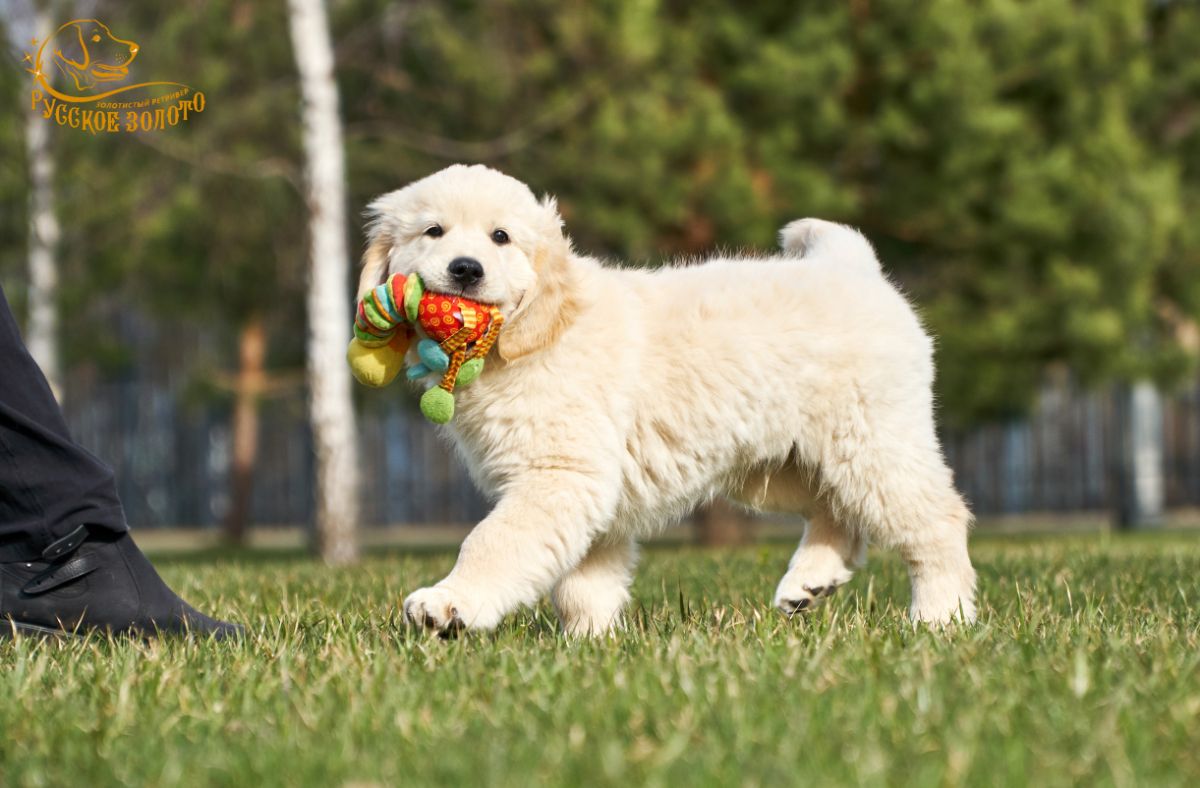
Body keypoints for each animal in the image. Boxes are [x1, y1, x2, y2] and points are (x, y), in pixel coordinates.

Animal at [362, 164, 974, 633]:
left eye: (500, 238)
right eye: (433, 232)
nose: (466, 270)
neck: (534, 329)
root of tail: (852, 266)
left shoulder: (559, 474)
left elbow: (494, 542)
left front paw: (450, 604)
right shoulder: (590, 493)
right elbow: (584, 582)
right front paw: (591, 643)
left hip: (871, 443)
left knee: (937, 519)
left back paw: (941, 617)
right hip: (782, 462)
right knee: (837, 511)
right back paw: (809, 582)